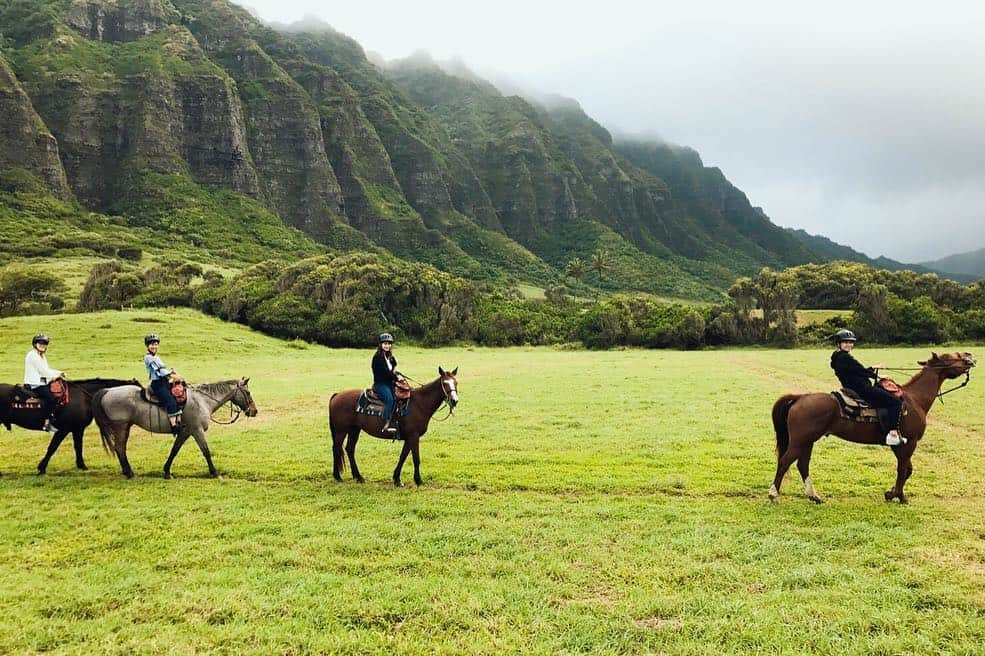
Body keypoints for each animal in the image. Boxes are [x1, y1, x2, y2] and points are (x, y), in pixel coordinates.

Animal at [0, 376, 138, 474]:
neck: (83, 397)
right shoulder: (63, 430)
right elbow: (52, 447)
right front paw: (41, 468)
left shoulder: (77, 429)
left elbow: (78, 446)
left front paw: (82, 465)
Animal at [92, 376, 258, 480]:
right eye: (248, 392)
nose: (254, 411)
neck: (202, 401)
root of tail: (107, 391)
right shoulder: (196, 430)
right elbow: (206, 451)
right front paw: (215, 473)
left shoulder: (185, 432)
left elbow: (174, 450)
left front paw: (166, 472)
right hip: (121, 426)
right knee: (120, 448)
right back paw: (130, 473)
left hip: (125, 427)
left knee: (120, 448)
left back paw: (127, 472)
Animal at [326, 364, 458, 486]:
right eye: (445, 383)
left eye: (455, 382)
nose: (454, 401)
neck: (420, 403)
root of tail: (337, 395)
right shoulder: (413, 436)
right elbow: (416, 458)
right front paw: (418, 481)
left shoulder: (409, 438)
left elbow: (403, 456)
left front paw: (397, 479)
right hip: (341, 431)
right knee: (336, 448)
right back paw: (338, 476)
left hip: (354, 430)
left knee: (349, 449)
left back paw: (358, 477)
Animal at [768, 352, 976, 504]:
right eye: (950, 357)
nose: (969, 357)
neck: (914, 399)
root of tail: (800, 397)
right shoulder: (908, 443)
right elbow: (903, 470)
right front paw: (899, 496)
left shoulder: (900, 445)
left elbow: (907, 470)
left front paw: (891, 493)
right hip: (800, 441)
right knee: (785, 462)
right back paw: (773, 494)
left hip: (808, 441)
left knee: (802, 464)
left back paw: (813, 496)